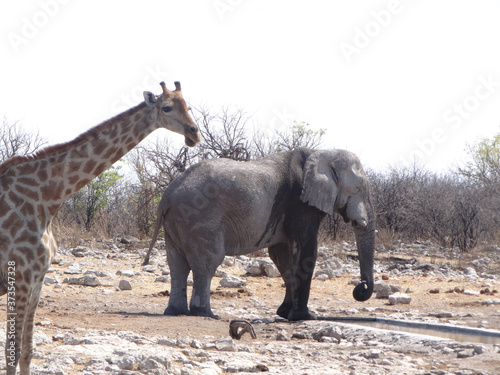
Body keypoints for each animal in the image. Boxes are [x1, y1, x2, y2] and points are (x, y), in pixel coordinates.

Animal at [0, 81, 203, 374]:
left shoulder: (38, 277)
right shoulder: (21, 275)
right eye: (166, 107)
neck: (48, 198)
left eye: (189, 106)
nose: (193, 133)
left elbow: (26, 351)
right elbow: (11, 352)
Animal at [145, 148, 376, 322]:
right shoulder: (300, 202)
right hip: (199, 218)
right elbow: (307, 250)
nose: (361, 288)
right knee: (207, 263)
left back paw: (176, 312)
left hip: (177, 221)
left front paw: (285, 314)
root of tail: (167, 195)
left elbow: (282, 255)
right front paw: (305, 317)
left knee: (177, 265)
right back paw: (205, 314)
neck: (322, 153)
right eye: (358, 189)